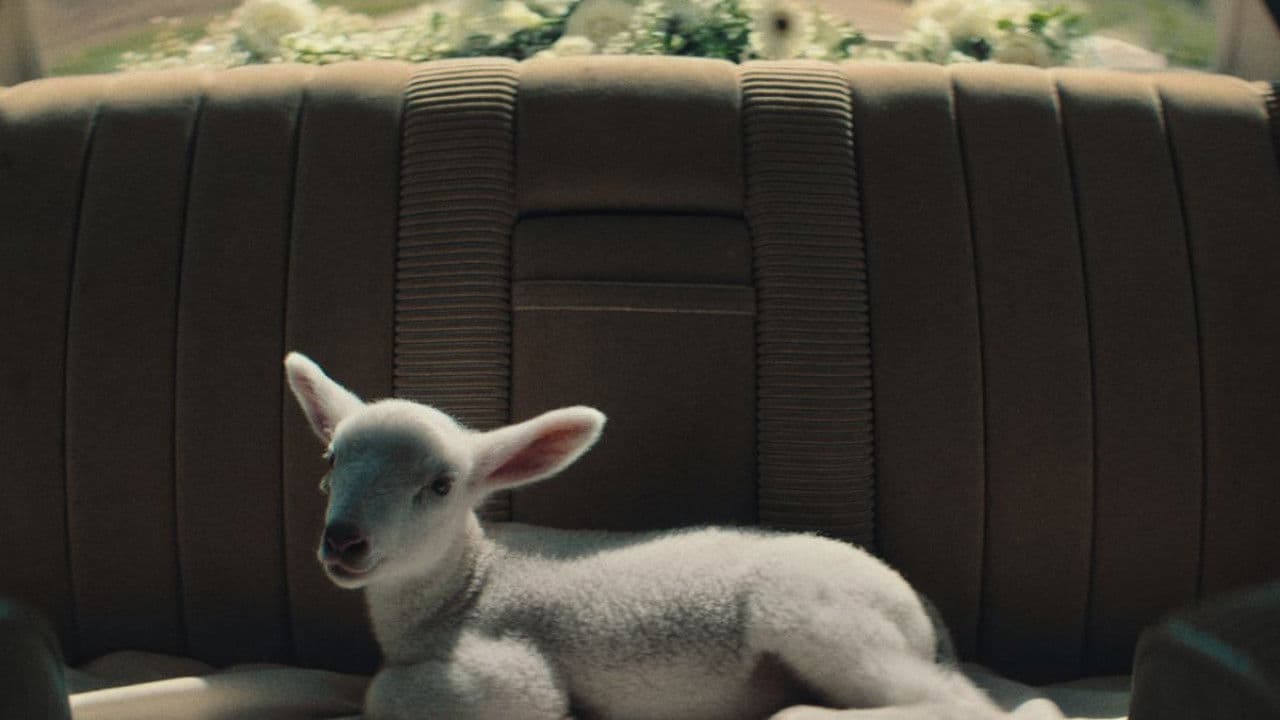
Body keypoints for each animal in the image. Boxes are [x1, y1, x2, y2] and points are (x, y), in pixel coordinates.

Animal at [284, 352, 1062, 720]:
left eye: (441, 486)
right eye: (331, 463)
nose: (344, 542)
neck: (467, 586)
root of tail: (917, 605)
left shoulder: (506, 674)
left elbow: (388, 693)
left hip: (818, 614)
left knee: (964, 707)